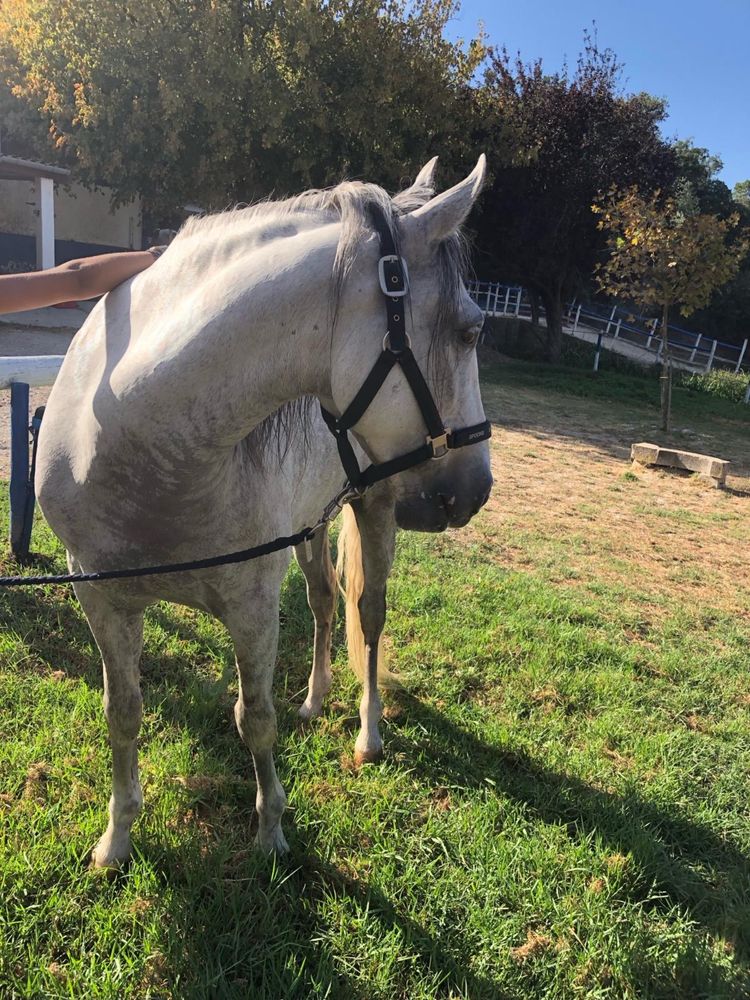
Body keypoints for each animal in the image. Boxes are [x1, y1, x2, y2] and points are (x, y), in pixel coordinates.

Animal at [36, 156, 494, 868]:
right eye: (471, 330)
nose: (477, 488)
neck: (136, 447)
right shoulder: (103, 599)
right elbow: (124, 714)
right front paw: (117, 839)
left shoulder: (251, 605)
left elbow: (255, 719)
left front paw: (271, 832)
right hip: (311, 527)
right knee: (324, 600)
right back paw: (315, 697)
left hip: (377, 509)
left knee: (367, 614)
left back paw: (367, 734)